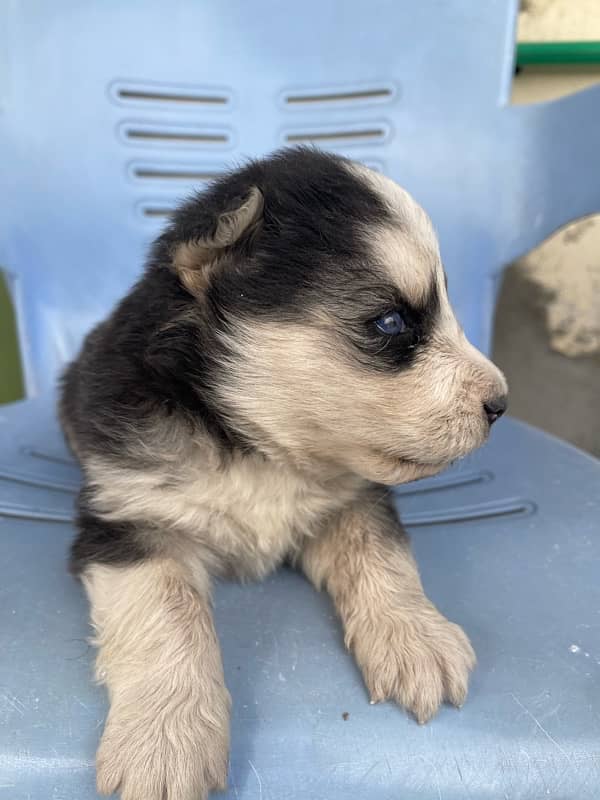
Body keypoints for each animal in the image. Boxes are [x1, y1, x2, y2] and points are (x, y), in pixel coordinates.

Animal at [59, 147, 506, 796]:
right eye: (391, 323)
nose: (501, 402)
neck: (260, 449)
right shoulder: (127, 518)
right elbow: (167, 610)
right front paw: (165, 737)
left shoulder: (354, 499)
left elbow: (382, 555)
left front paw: (415, 635)